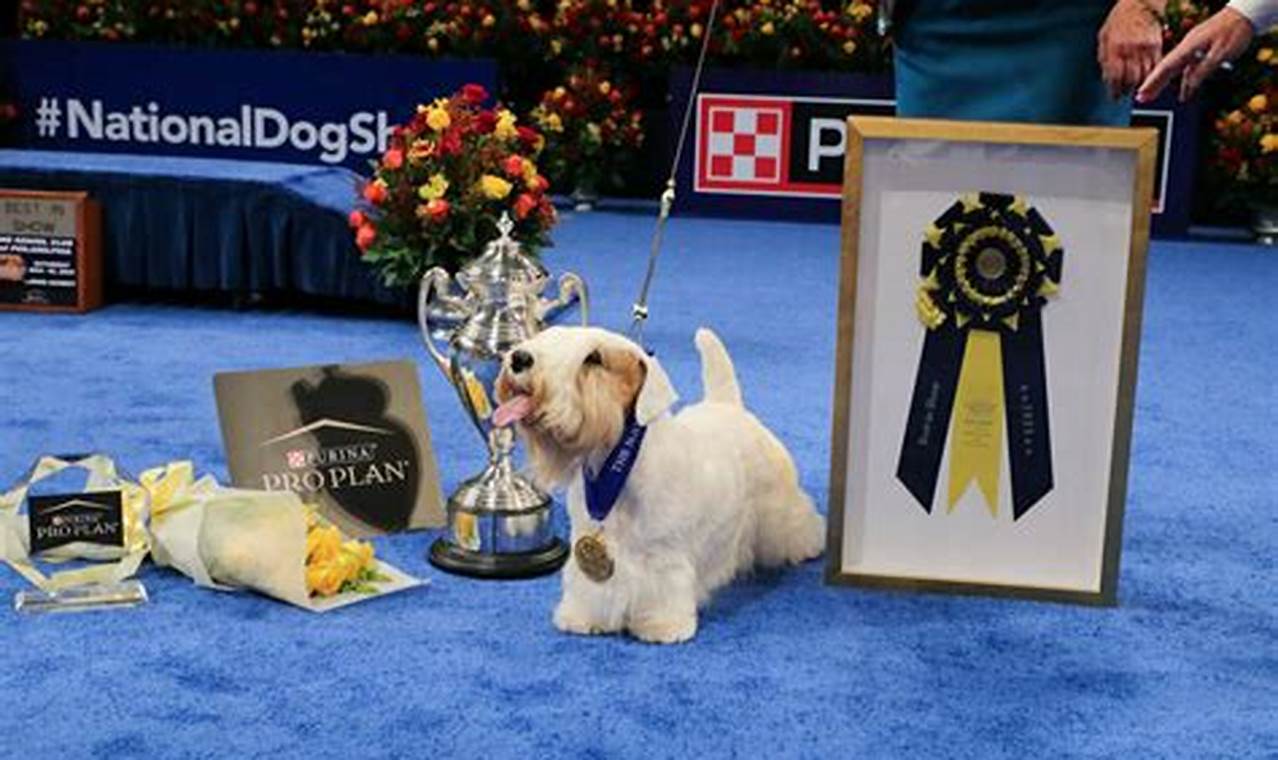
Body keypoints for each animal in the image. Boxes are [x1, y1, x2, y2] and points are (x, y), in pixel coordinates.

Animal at [493, 324, 823, 646]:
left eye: (594, 358)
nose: (519, 358)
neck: (617, 466)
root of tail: (728, 405)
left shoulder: (663, 555)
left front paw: (661, 625)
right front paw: (583, 617)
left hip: (776, 506)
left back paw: (809, 546)